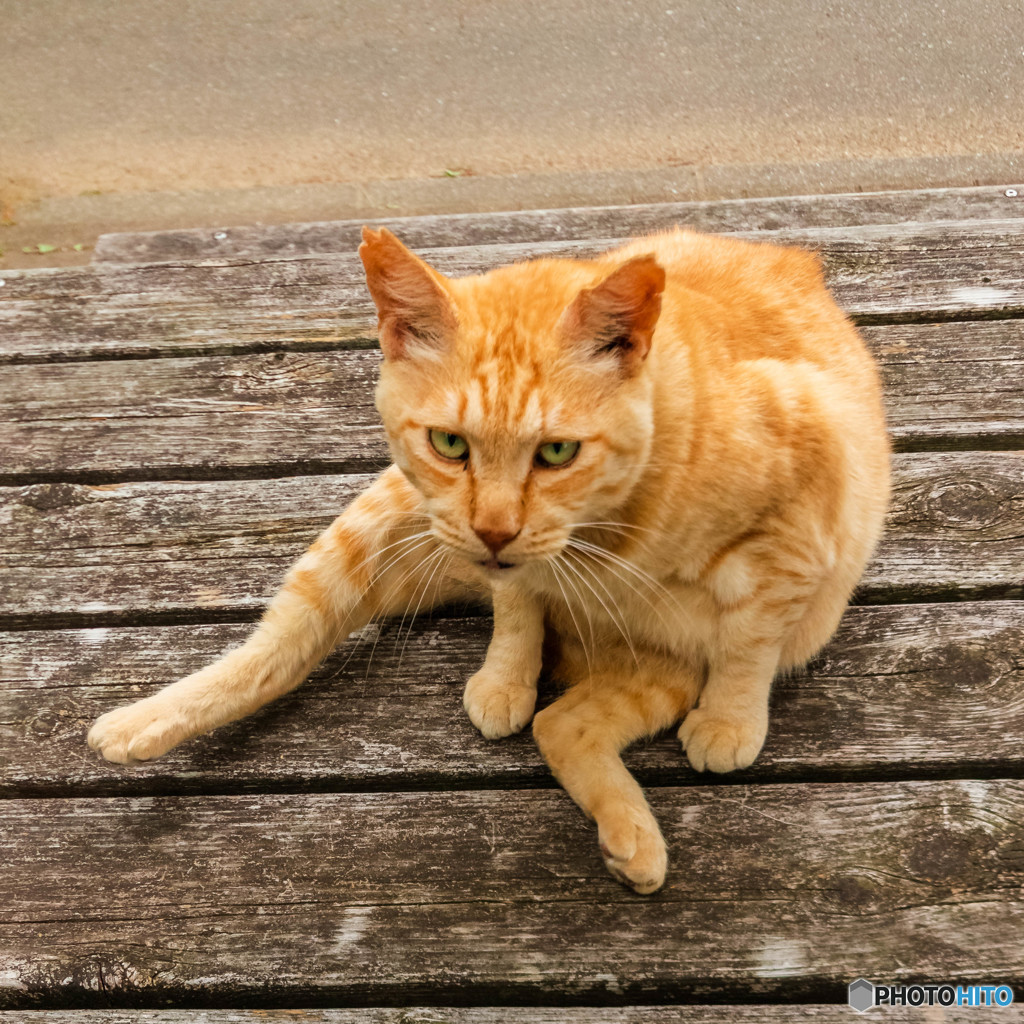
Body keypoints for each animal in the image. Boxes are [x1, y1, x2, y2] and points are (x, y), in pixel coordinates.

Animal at [90, 222, 888, 888]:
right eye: (450, 444)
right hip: (367, 537)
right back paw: (139, 724)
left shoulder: (797, 534)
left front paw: (730, 722)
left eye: (557, 452)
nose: (494, 530)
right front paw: (506, 675)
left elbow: (751, 643)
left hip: (664, 661)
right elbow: (517, 609)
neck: (600, 541)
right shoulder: (505, 566)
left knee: (563, 725)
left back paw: (630, 841)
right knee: (277, 651)